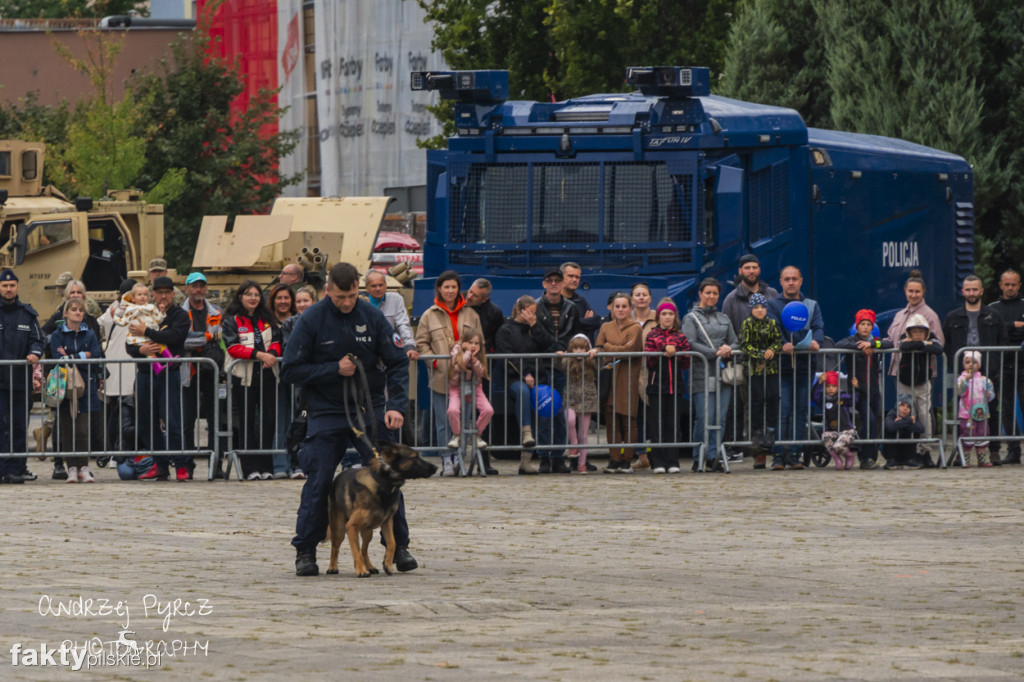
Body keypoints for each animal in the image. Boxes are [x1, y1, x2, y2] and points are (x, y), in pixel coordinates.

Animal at [327, 440, 436, 573]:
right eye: (414, 457)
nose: (435, 467)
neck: (384, 482)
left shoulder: (387, 522)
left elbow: (392, 542)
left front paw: (387, 564)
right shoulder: (351, 526)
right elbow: (355, 552)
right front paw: (361, 571)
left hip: (367, 531)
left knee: (364, 550)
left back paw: (370, 567)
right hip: (340, 530)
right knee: (335, 548)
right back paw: (333, 567)